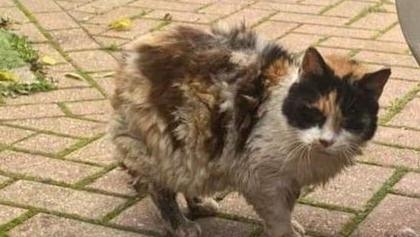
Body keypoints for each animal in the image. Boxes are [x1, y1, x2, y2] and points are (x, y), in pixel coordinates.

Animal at [110, 24, 392, 237]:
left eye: (349, 120)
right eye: (313, 112)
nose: (326, 141)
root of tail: (133, 53)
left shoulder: (289, 180)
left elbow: (287, 208)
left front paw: (292, 224)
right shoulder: (261, 178)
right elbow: (278, 216)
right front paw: (286, 232)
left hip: (194, 148)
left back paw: (200, 203)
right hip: (165, 146)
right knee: (160, 189)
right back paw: (180, 225)